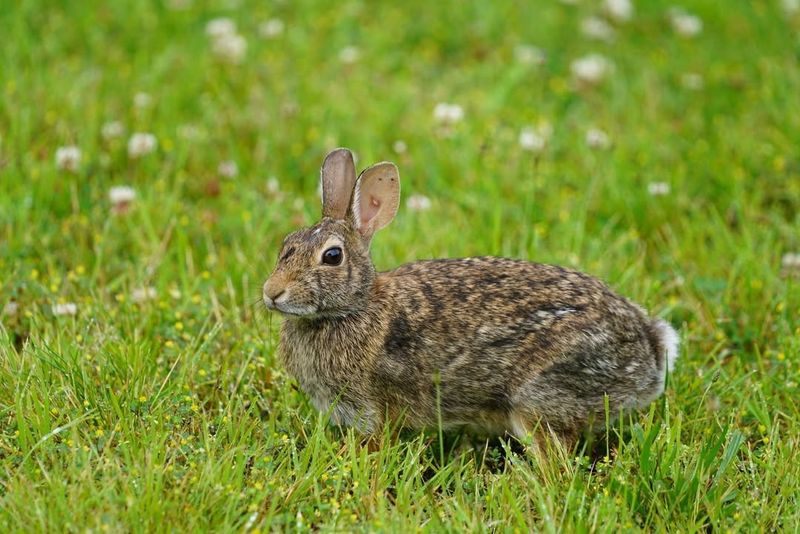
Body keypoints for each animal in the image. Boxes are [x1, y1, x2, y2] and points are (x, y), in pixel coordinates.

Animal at [262, 148, 679, 450]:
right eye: (287, 244)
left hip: (537, 398)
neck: (355, 306)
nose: (271, 293)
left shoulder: (374, 410)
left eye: (332, 256)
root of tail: (650, 348)